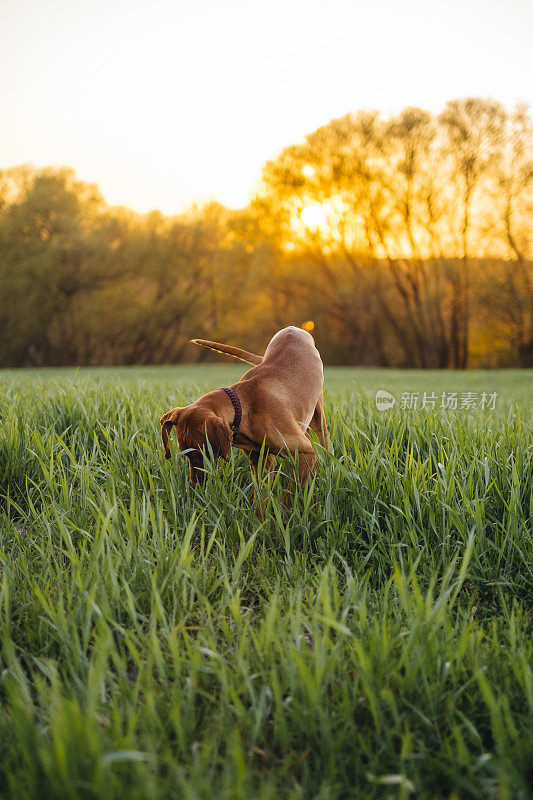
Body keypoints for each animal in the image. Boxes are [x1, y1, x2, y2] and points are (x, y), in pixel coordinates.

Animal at [158, 324, 326, 488]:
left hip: (318, 418)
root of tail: (294, 328)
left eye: (203, 453)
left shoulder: (306, 452)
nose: (195, 486)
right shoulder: (261, 461)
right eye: (186, 453)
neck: (242, 406)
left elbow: (292, 492)